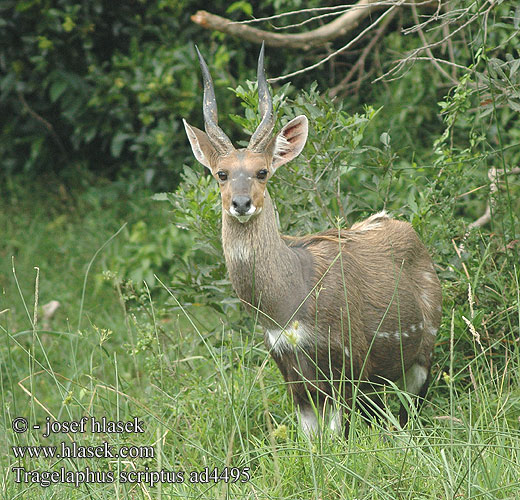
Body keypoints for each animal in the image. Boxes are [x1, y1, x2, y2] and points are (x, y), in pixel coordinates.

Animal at [181, 46, 440, 438]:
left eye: (262, 171)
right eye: (221, 174)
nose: (241, 203)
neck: (287, 303)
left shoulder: (345, 361)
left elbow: (337, 438)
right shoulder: (289, 368)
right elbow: (310, 440)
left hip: (423, 351)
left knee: (411, 408)